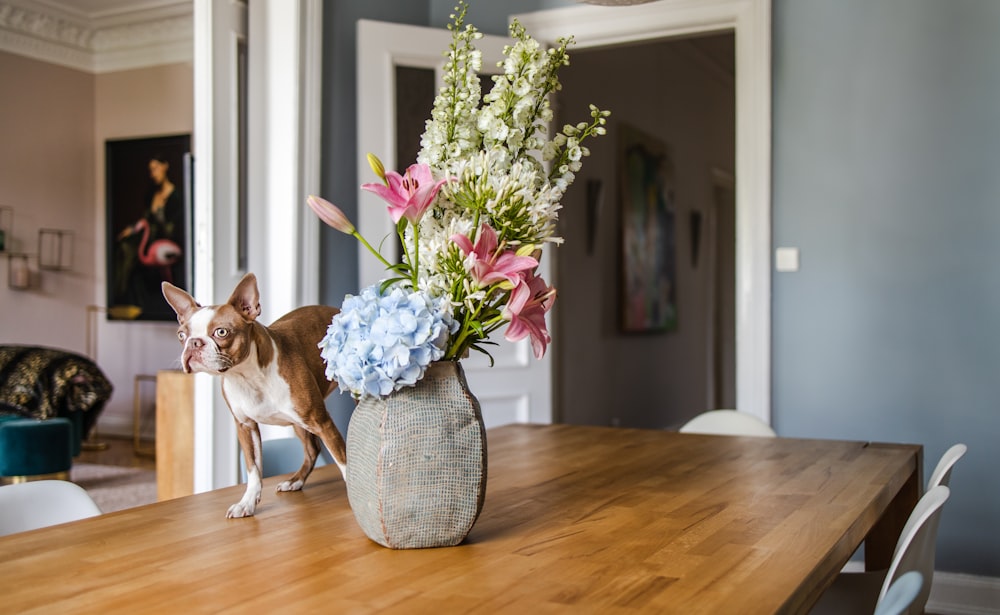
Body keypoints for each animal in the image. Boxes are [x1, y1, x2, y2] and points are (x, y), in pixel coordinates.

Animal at [162, 272, 346, 516]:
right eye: (182, 335)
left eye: (221, 332)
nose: (193, 343)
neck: (246, 377)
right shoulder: (245, 426)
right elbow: (254, 471)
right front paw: (247, 503)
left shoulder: (322, 422)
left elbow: (344, 462)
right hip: (298, 423)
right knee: (312, 449)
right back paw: (295, 481)